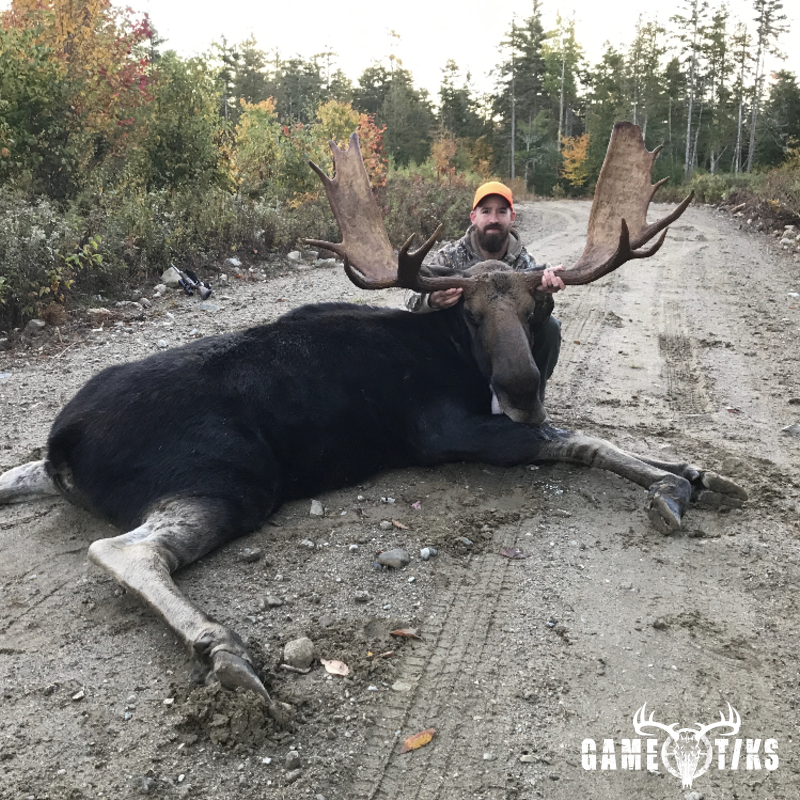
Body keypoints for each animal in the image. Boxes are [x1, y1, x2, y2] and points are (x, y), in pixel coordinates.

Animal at [0, 123, 746, 706]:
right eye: (474, 314)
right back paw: (227, 650)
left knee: (23, 480)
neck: (455, 354)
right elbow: (579, 438)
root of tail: (64, 441)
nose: (522, 388)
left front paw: (697, 471)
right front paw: (672, 484)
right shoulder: (444, 430)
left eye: (538, 306)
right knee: (122, 550)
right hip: (227, 478)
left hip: (99, 474)